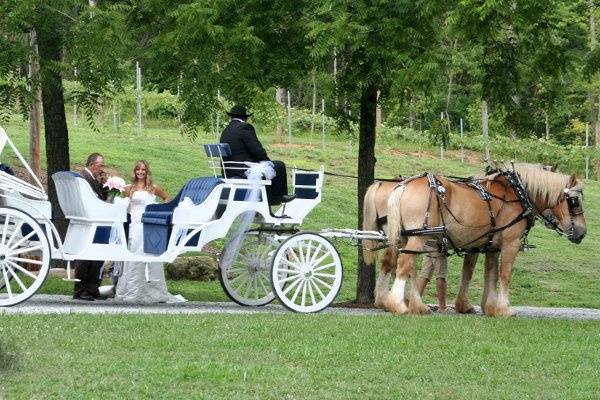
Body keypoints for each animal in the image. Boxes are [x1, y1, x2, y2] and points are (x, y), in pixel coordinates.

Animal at [384, 164, 584, 318]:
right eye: (574, 201)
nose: (582, 233)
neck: (517, 193)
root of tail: (404, 185)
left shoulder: (491, 246)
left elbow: (489, 274)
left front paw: (488, 307)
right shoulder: (510, 243)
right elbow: (505, 274)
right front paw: (504, 309)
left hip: (410, 237)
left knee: (410, 268)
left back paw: (417, 306)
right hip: (418, 236)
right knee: (404, 264)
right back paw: (398, 305)